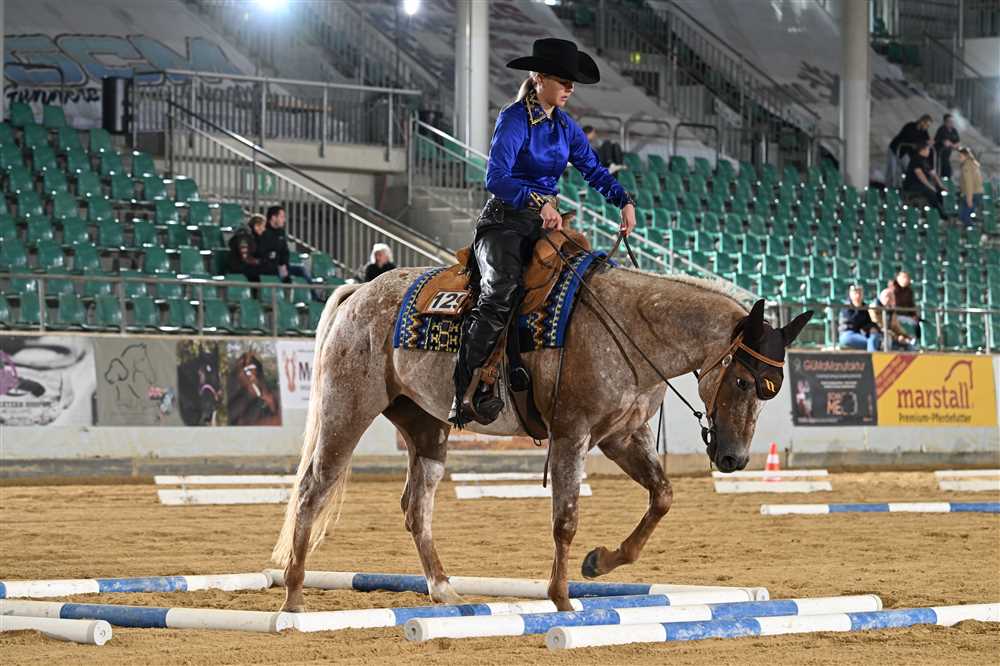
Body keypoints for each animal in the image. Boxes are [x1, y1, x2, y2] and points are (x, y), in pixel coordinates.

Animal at [271, 266, 812, 613]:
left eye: (773, 388)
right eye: (741, 381)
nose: (734, 458)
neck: (630, 328)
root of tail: (360, 293)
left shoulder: (622, 436)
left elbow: (662, 496)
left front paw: (600, 562)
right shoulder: (572, 435)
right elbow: (565, 520)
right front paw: (562, 598)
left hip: (426, 428)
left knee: (415, 508)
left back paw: (443, 589)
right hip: (347, 410)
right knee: (312, 489)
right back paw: (294, 597)